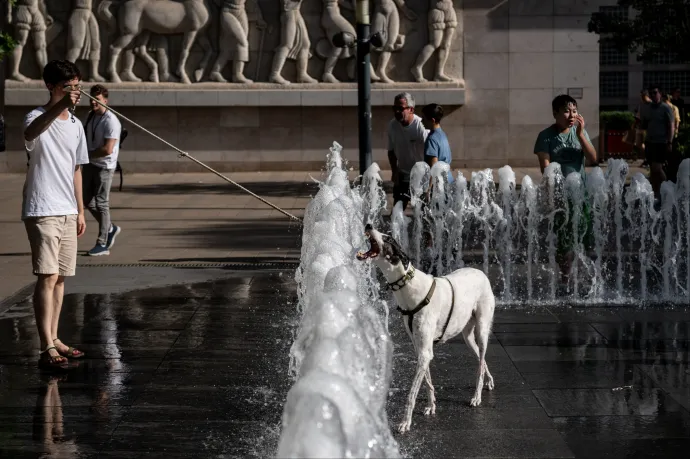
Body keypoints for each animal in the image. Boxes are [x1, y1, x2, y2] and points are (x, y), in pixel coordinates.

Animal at [354, 225, 494, 434]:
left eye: (388, 238)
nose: (369, 225)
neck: (409, 287)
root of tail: (481, 272)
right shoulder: (420, 347)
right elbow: (427, 381)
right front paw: (431, 405)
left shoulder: (425, 352)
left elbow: (412, 393)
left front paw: (405, 422)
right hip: (468, 337)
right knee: (481, 361)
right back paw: (489, 381)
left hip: (482, 331)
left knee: (481, 362)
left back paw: (476, 396)